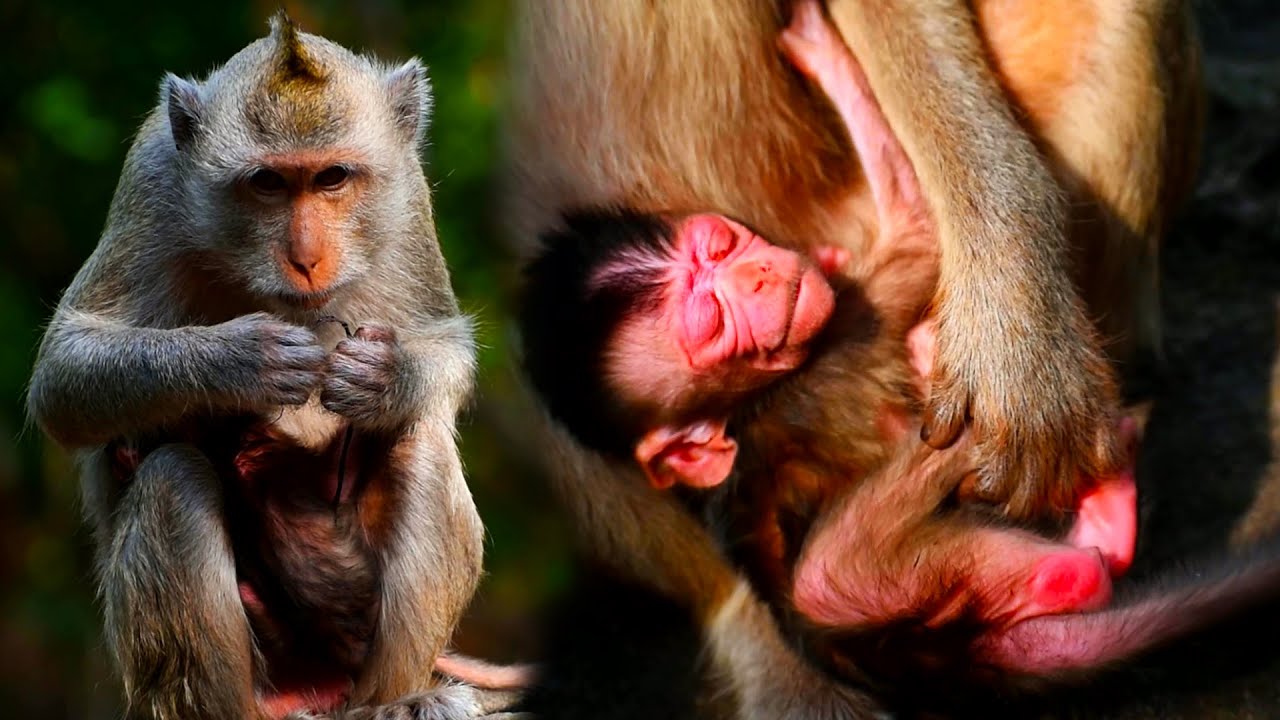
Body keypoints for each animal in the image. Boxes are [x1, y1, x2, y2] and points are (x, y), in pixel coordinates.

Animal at [24, 14, 507, 720]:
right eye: (268, 184)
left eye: (332, 178)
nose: (305, 258)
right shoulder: (151, 179)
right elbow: (64, 373)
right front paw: (245, 358)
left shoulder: (407, 193)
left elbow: (442, 341)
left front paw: (382, 377)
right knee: (172, 478)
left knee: (420, 443)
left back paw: (396, 699)